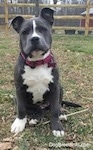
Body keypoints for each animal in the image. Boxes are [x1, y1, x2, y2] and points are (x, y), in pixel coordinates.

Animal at [10, 8, 64, 137]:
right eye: (24, 32)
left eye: (43, 29)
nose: (34, 38)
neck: (37, 61)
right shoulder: (19, 89)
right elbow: (21, 108)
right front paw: (19, 123)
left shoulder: (55, 87)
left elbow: (55, 109)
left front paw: (57, 127)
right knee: (35, 109)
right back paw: (34, 117)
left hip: (60, 87)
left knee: (57, 105)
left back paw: (61, 114)